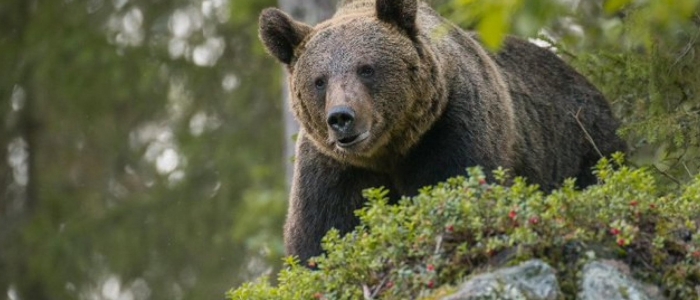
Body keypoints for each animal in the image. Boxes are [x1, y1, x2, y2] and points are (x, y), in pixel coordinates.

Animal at [260, 0, 628, 262]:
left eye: (366, 68)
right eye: (319, 80)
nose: (341, 118)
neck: (389, 151)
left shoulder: (452, 129)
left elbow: (455, 190)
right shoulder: (334, 168)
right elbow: (321, 236)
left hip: (585, 145)